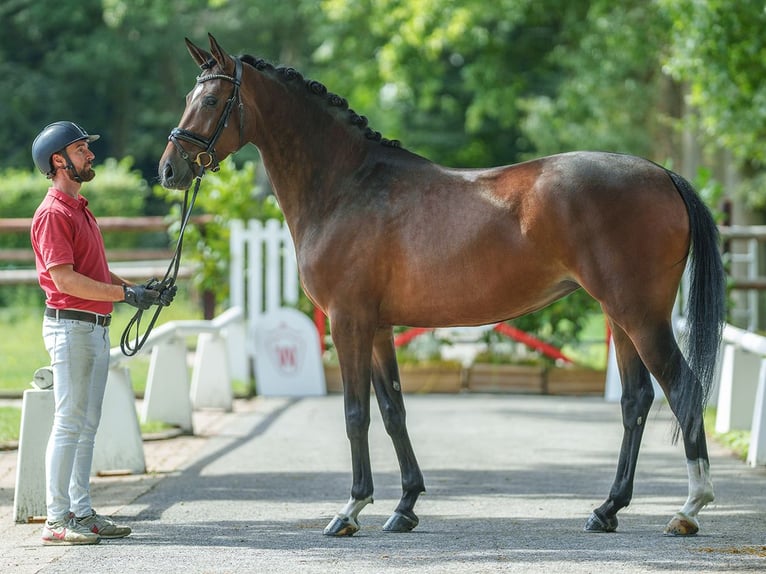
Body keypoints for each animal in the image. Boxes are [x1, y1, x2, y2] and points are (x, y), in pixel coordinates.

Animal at [160, 35, 728, 540]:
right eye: (188, 97)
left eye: (210, 100)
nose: (170, 169)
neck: (347, 186)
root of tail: (663, 175)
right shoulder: (378, 328)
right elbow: (393, 411)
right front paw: (405, 506)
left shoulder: (348, 322)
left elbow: (355, 413)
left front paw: (351, 510)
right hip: (619, 315)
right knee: (636, 400)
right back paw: (607, 509)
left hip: (639, 315)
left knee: (683, 389)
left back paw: (689, 509)